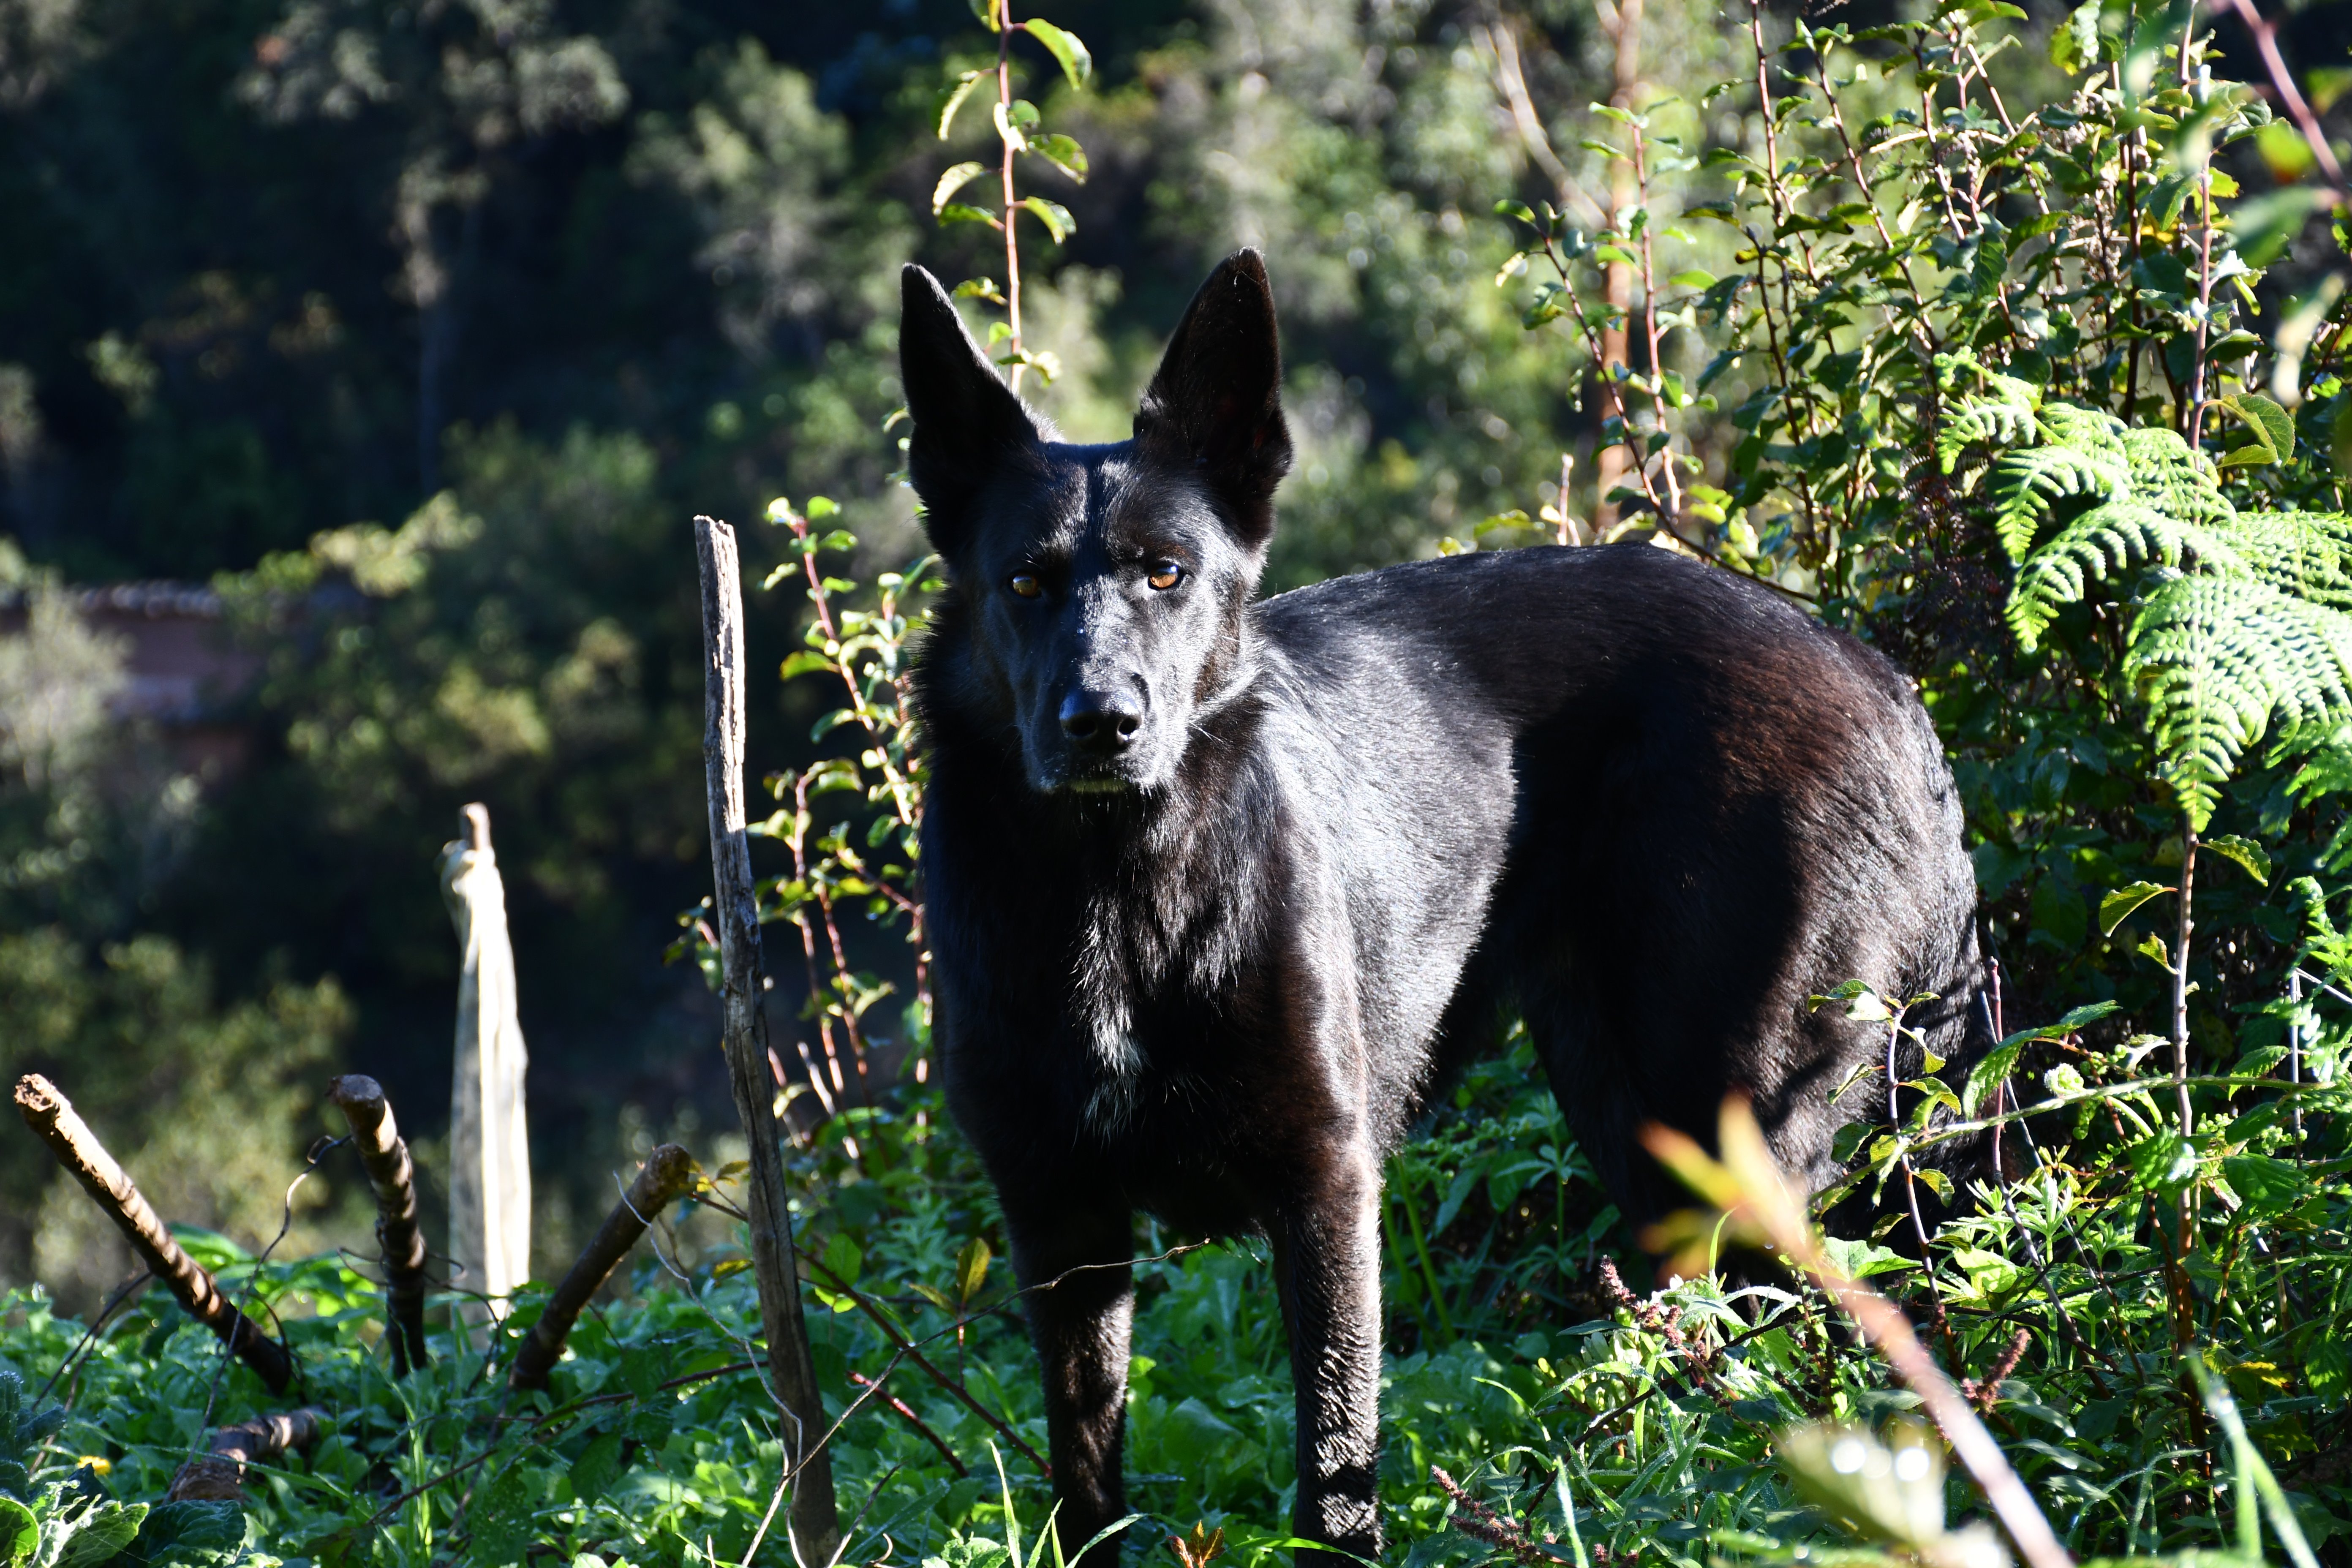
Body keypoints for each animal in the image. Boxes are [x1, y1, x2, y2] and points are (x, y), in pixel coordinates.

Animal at [898, 250, 1990, 1562]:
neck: (1121, 891)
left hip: (1745, 1123)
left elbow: (1336, 1461)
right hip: (1636, 1119)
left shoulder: (1326, 1186)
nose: (1101, 723)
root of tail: (1880, 674)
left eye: (1168, 573)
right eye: (1024, 581)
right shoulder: (1059, 1220)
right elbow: (1087, 1479)